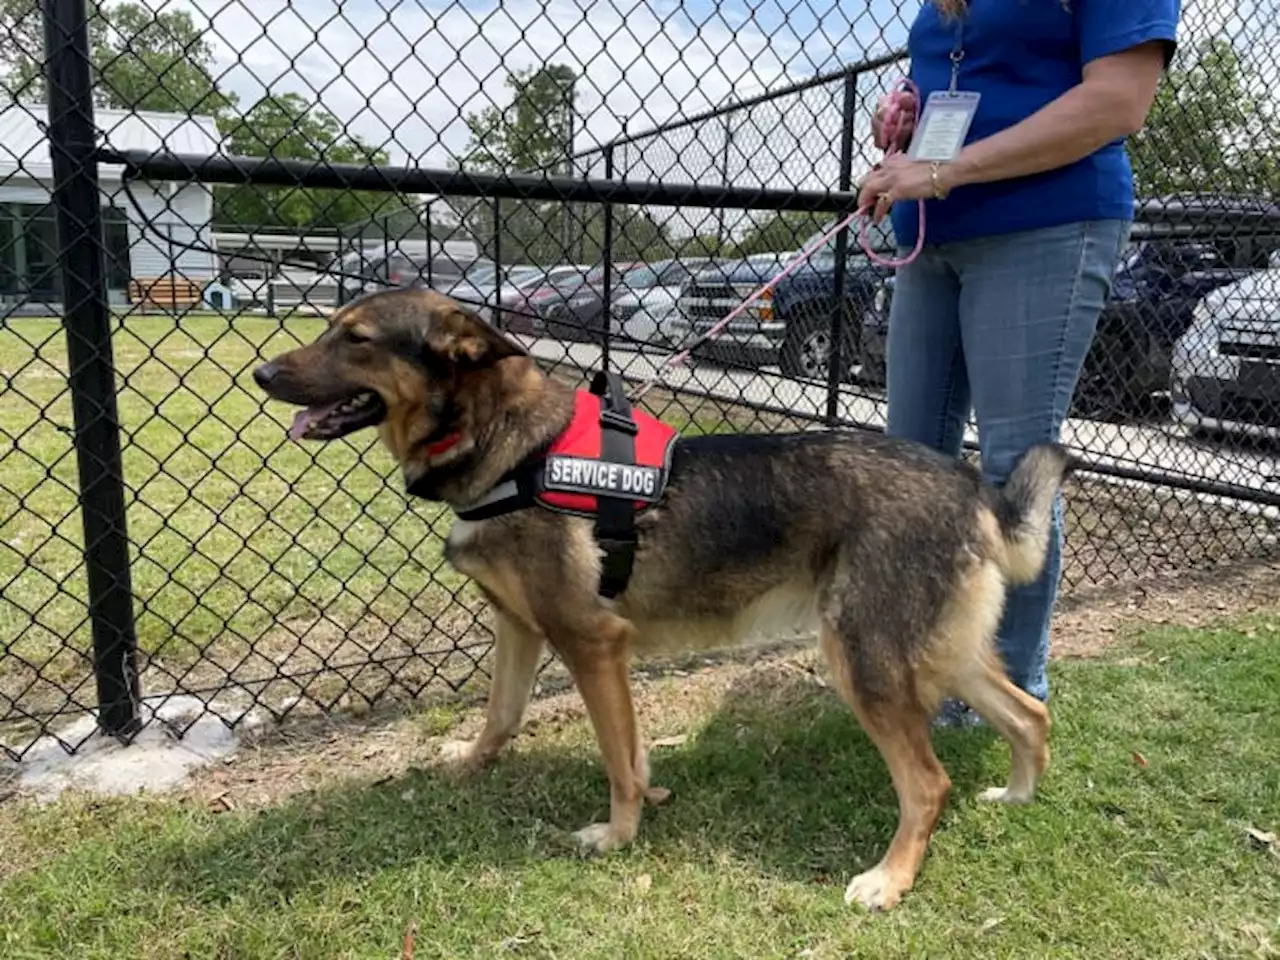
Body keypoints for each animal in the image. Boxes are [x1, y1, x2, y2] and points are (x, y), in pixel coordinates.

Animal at [254, 289, 1075, 911]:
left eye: (356, 339)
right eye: (331, 327)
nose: (262, 371)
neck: (513, 448)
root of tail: (972, 487)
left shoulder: (592, 644)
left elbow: (616, 759)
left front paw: (617, 837)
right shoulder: (520, 626)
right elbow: (506, 716)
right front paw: (474, 764)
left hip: (863, 661)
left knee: (929, 783)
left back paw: (890, 880)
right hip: (935, 652)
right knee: (1029, 713)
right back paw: (1019, 797)